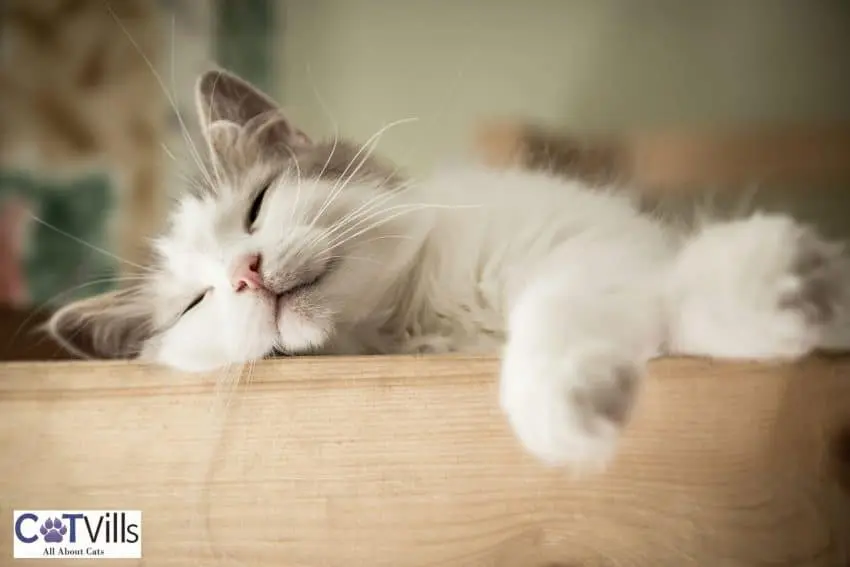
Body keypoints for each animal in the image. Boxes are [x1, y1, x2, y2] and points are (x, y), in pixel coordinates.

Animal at [46, 69, 848, 470]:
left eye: (259, 206)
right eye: (196, 302)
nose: (245, 272)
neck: (417, 317)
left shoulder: (600, 240)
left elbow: (573, 300)